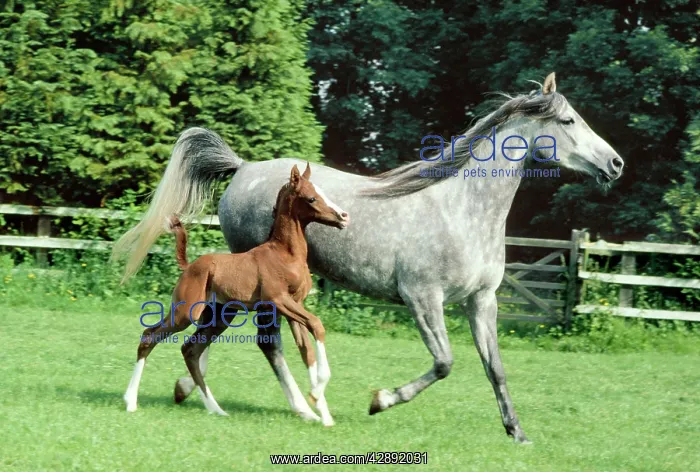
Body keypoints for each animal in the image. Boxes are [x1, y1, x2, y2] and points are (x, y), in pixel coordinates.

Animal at [122, 163, 350, 427]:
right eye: (311, 198)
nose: (344, 216)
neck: (286, 255)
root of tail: (189, 266)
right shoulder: (278, 301)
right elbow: (317, 325)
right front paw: (317, 395)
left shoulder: (295, 304)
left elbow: (307, 350)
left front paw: (322, 412)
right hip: (185, 313)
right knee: (150, 336)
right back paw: (130, 401)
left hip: (217, 318)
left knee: (190, 350)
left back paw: (215, 409)